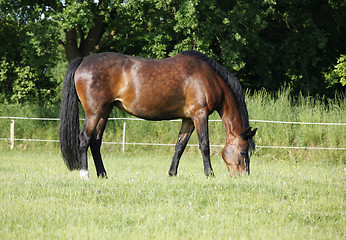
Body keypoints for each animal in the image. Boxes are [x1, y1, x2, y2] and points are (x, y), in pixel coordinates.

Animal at [58, 50, 256, 180]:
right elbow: (204, 145)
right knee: (84, 139)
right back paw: (85, 175)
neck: (210, 78)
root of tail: (83, 60)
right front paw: (210, 174)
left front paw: (172, 173)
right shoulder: (199, 114)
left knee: (96, 142)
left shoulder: (188, 119)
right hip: (94, 112)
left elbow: (180, 146)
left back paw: (103, 175)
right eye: (242, 151)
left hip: (104, 112)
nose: (243, 177)